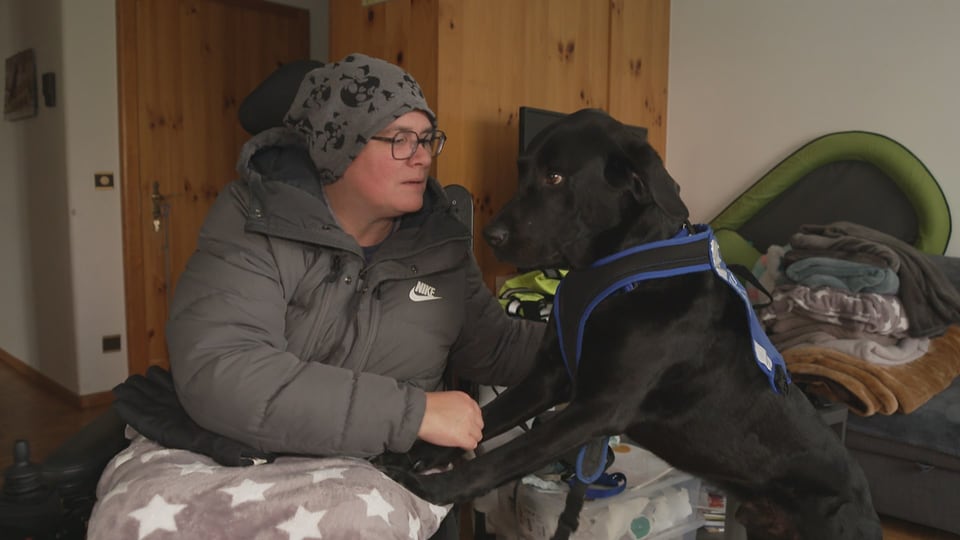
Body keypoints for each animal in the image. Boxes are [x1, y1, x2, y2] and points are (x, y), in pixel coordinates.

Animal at [386, 107, 880, 536]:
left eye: (555, 176)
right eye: (522, 169)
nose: (491, 235)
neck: (616, 270)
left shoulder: (598, 406)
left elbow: (503, 457)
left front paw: (432, 486)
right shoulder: (550, 378)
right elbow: (489, 416)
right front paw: (420, 451)